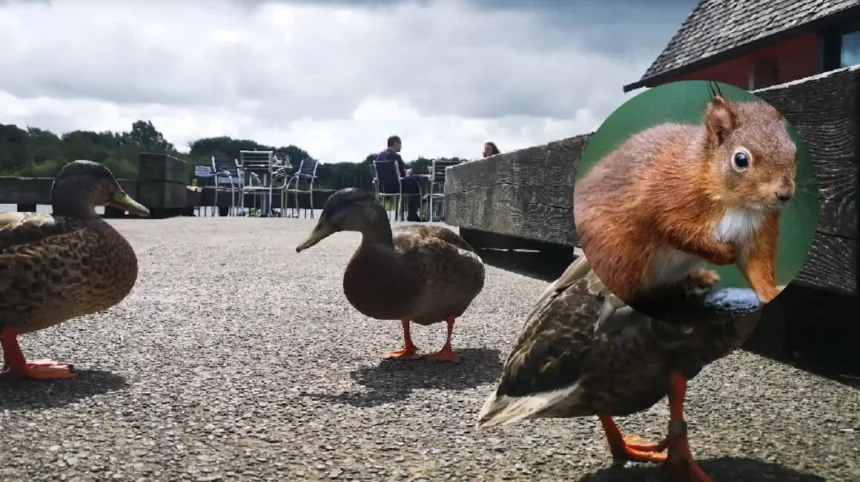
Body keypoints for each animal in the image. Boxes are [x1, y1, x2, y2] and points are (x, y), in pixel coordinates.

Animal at [573, 90, 797, 307]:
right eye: (741, 159)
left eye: (794, 152)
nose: (784, 194)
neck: (736, 203)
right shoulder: (663, 198)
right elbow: (676, 230)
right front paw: (723, 254)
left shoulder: (760, 230)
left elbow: (758, 266)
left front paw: (769, 292)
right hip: (617, 251)